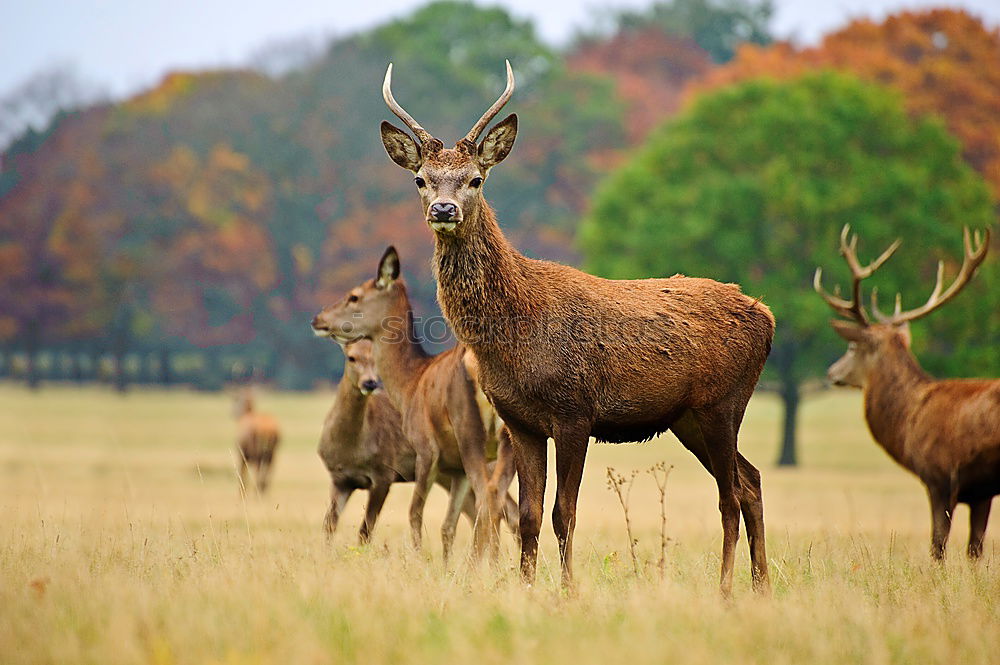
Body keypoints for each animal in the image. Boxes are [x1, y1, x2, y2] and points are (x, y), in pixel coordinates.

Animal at [310, 250, 516, 560]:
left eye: (354, 296)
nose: (318, 318)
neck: (410, 383)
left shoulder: (425, 448)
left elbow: (414, 513)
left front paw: (420, 559)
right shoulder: (454, 468)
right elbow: (447, 526)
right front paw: (445, 564)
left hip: (470, 431)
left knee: (488, 500)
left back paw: (480, 564)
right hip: (509, 440)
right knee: (502, 503)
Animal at [376, 61, 772, 592]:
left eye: (476, 179)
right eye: (421, 179)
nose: (444, 209)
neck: (515, 336)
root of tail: (767, 317)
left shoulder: (574, 411)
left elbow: (564, 513)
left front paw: (567, 590)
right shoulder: (519, 421)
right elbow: (527, 515)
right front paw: (525, 587)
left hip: (723, 401)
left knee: (729, 495)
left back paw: (727, 588)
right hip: (687, 417)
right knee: (750, 482)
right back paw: (761, 584)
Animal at [816, 224, 996, 560]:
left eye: (852, 346)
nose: (831, 372)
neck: (911, 419)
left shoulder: (939, 477)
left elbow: (938, 545)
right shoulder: (981, 492)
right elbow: (974, 549)